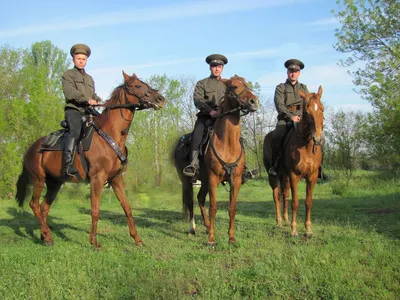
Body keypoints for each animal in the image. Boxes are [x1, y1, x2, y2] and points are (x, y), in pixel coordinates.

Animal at [15, 71, 166, 247]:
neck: (110, 135)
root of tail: (29, 149)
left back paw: (46, 237)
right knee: (34, 205)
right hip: (39, 180)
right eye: (138, 86)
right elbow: (95, 211)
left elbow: (127, 208)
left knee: (43, 208)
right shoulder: (97, 179)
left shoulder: (116, 179)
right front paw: (94, 241)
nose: (160, 99)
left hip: (54, 184)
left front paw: (137, 239)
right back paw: (47, 235)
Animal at [172, 75, 260, 246]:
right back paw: (193, 229)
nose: (254, 102)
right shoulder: (213, 178)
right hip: (187, 180)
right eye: (234, 86)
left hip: (204, 181)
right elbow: (213, 207)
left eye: (247, 84)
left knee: (200, 199)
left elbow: (232, 208)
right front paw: (211, 239)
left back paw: (207, 227)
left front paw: (231, 237)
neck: (227, 143)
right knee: (191, 203)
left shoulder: (235, 180)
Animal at [262, 85, 324, 238]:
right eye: (306, 112)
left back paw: (285, 219)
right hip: (273, 176)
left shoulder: (312, 176)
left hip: (284, 176)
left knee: (284, 195)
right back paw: (279, 222)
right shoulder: (294, 176)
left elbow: (308, 202)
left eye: (322, 109)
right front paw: (294, 229)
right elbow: (295, 202)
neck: (305, 146)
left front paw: (308, 230)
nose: (317, 138)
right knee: (276, 196)